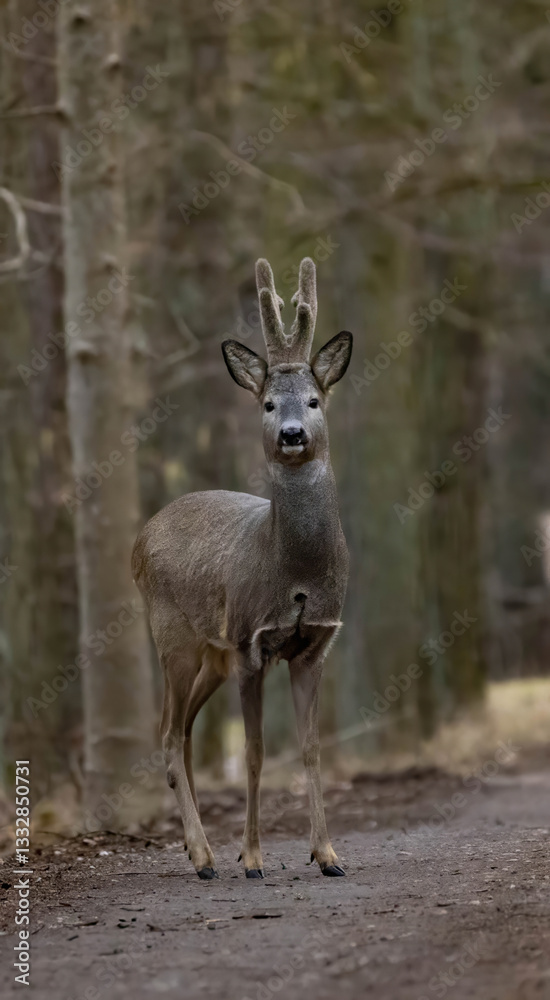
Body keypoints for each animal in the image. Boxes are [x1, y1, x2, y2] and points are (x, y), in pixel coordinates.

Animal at [132, 257, 353, 880]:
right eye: (268, 404)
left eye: (314, 400)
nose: (292, 435)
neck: (296, 576)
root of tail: (139, 540)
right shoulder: (252, 642)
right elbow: (254, 753)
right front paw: (253, 857)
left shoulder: (315, 644)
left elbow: (311, 748)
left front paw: (328, 855)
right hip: (173, 637)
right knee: (166, 733)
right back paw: (206, 857)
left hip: (213, 654)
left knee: (183, 732)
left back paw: (199, 847)